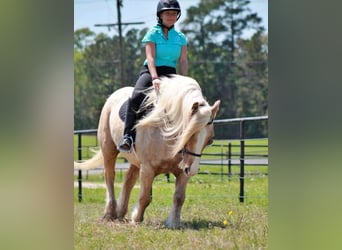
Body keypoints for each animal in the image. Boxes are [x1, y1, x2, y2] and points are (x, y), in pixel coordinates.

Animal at [74, 74, 219, 229]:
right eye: (189, 134)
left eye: (210, 140)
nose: (192, 170)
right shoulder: (148, 168)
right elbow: (144, 197)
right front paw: (136, 219)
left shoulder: (182, 172)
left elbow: (179, 197)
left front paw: (173, 223)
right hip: (109, 149)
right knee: (110, 177)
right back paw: (110, 213)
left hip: (135, 161)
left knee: (129, 179)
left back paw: (120, 212)